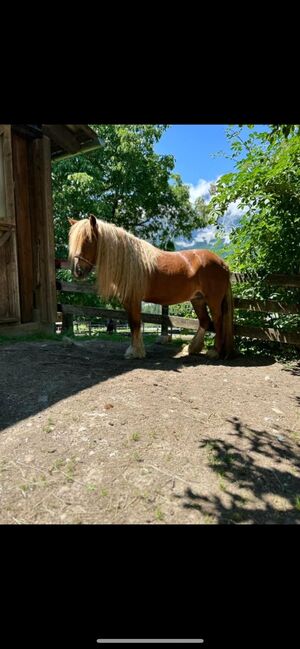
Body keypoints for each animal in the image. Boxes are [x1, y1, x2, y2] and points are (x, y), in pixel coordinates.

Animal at [68, 216, 234, 360]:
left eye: (89, 240)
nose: (77, 271)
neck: (129, 262)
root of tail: (222, 263)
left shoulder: (134, 299)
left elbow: (135, 324)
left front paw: (135, 352)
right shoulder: (128, 301)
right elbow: (132, 324)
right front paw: (135, 349)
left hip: (213, 300)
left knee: (217, 321)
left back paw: (214, 351)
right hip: (197, 299)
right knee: (205, 321)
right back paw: (192, 348)